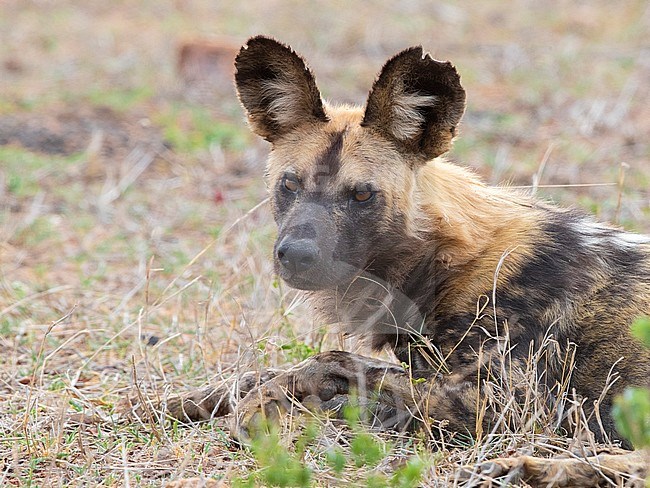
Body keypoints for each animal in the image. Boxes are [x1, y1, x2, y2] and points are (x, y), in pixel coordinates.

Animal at [168, 35, 648, 480]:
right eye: (289, 184)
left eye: (362, 194)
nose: (297, 255)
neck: (445, 263)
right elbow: (261, 371)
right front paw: (178, 401)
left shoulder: (505, 406)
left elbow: (326, 361)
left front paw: (258, 407)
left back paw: (518, 468)